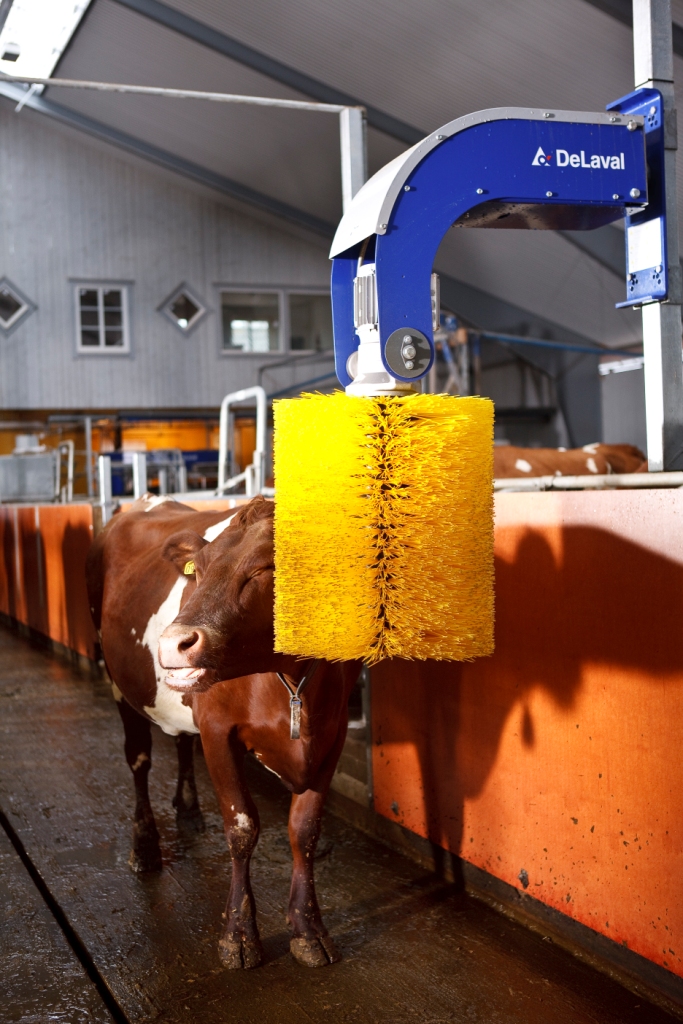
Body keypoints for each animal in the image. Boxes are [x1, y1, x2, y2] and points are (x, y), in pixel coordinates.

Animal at [85, 494, 359, 970]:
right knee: (139, 760)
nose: (173, 642)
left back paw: (190, 810)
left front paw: (308, 929)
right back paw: (145, 846)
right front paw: (239, 935)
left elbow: (305, 830)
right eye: (198, 568)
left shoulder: (333, 733)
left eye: (267, 567)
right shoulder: (217, 730)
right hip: (119, 681)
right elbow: (242, 827)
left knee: (180, 740)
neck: (292, 685)